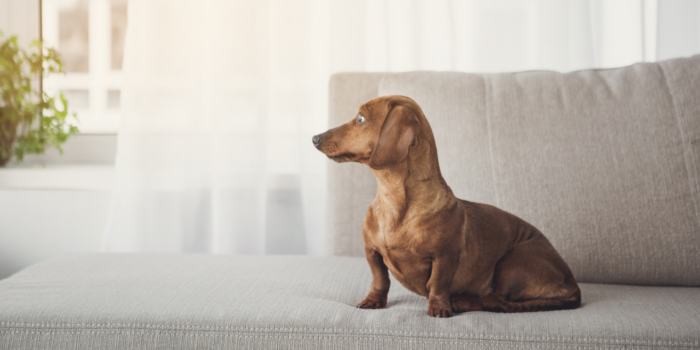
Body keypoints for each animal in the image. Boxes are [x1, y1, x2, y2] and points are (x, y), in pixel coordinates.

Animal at [312, 95, 580, 318]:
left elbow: (438, 284)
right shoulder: (372, 252)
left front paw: (440, 308)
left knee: (495, 300)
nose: (315, 138)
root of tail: (574, 286)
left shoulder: (445, 257)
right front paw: (372, 301)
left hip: (513, 261)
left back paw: (462, 302)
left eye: (360, 118)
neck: (395, 204)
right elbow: (380, 280)